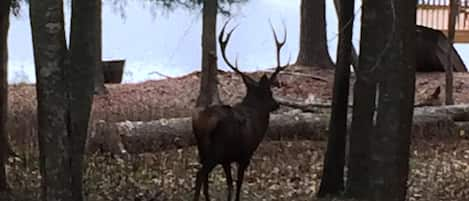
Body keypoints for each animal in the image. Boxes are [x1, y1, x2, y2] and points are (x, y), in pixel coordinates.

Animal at [191, 20, 288, 201]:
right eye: (270, 93)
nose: (277, 104)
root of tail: (202, 122)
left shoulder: (227, 159)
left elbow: (229, 185)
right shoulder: (245, 154)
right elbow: (238, 185)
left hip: (203, 150)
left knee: (204, 177)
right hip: (216, 150)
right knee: (200, 174)